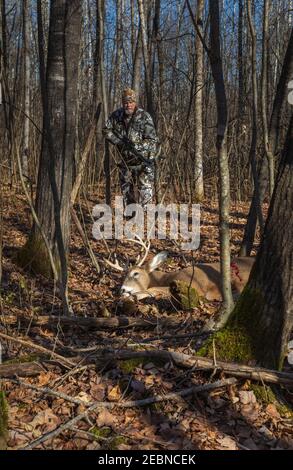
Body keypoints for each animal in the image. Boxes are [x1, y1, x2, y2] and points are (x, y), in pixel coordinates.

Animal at [102, 239, 253, 302]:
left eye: (135, 273)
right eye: (123, 275)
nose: (122, 289)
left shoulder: (192, 285)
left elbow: (152, 290)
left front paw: (130, 296)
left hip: (239, 278)